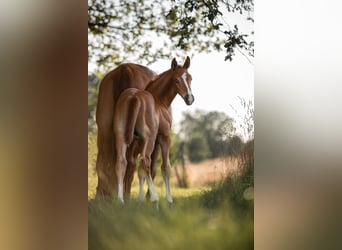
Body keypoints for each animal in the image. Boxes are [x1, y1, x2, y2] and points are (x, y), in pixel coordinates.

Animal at [113, 57, 194, 204]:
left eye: (190, 78)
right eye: (176, 80)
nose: (189, 99)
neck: (160, 101)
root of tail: (134, 96)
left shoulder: (138, 140)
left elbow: (140, 171)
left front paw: (140, 200)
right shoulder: (164, 137)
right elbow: (165, 167)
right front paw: (169, 199)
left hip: (120, 135)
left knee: (121, 162)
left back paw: (120, 200)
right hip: (150, 138)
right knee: (145, 161)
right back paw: (155, 198)